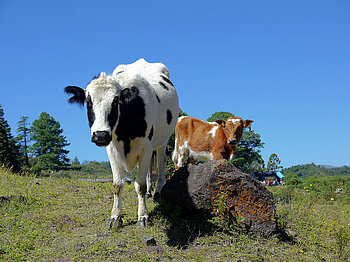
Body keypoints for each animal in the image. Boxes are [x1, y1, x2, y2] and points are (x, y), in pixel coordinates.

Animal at [65, 58, 179, 226]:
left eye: (114, 102)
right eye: (88, 102)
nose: (100, 135)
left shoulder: (146, 146)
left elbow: (140, 186)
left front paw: (143, 216)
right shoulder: (112, 149)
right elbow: (117, 185)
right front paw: (115, 216)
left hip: (162, 140)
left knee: (161, 163)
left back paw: (157, 191)